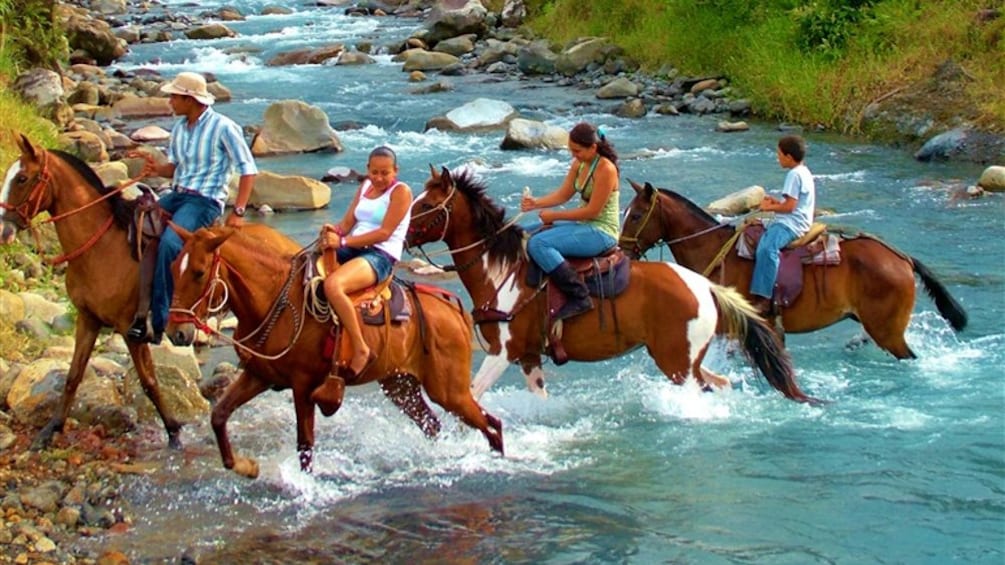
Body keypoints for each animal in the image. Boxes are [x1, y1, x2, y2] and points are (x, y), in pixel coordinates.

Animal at [0, 131, 182, 448]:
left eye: (22, 178)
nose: (3, 231)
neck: (102, 247)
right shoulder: (88, 320)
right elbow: (73, 375)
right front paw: (51, 430)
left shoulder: (131, 330)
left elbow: (149, 382)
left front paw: (173, 433)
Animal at [167, 222, 506, 476]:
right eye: (171, 268)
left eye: (199, 272)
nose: (177, 333)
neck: (274, 298)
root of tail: (452, 308)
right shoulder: (258, 375)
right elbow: (219, 415)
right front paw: (244, 466)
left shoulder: (303, 385)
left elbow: (305, 445)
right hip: (400, 386)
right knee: (434, 425)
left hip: (448, 390)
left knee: (492, 426)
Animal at [402, 164, 816, 402]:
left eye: (426, 206)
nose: (401, 233)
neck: (501, 272)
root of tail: (705, 287)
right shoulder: (529, 357)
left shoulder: (504, 351)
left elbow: (470, 396)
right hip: (689, 361)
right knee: (721, 383)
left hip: (677, 363)